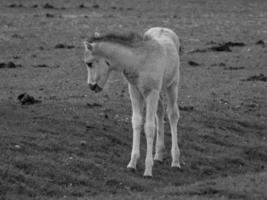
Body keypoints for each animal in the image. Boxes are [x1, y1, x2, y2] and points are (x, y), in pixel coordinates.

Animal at [82, 26, 181, 177]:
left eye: (89, 63)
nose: (91, 86)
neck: (138, 62)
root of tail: (163, 28)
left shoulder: (151, 92)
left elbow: (149, 127)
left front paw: (148, 170)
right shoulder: (134, 91)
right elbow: (137, 122)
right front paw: (132, 163)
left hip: (172, 85)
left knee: (172, 115)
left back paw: (175, 161)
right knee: (160, 111)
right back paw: (158, 155)